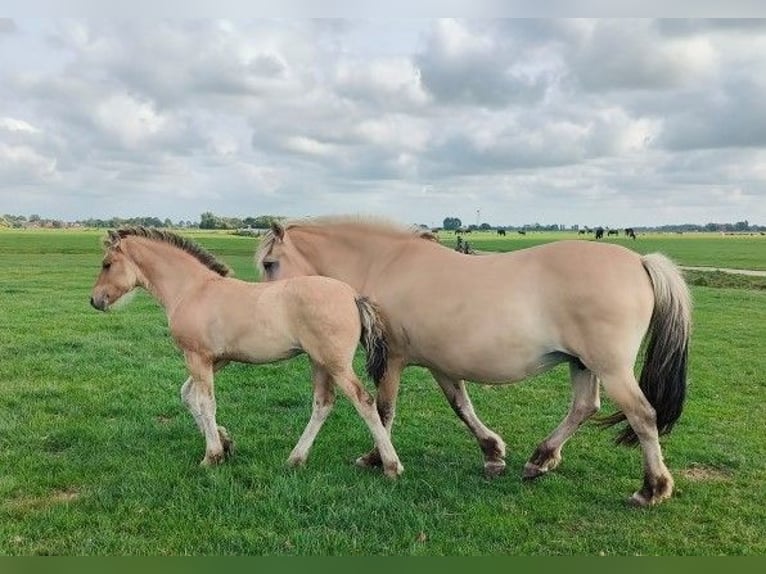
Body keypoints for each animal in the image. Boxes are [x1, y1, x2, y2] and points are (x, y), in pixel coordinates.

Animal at [89, 227, 403, 477]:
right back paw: (295, 459)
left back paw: (391, 465)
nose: (95, 300)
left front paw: (212, 456)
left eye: (107, 264)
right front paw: (225, 442)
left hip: (335, 363)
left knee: (364, 401)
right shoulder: (217, 360)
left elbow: (205, 402)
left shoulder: (197, 357)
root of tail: (353, 295)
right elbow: (188, 395)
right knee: (323, 403)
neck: (192, 290)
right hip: (319, 362)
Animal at [256, 217, 692, 506]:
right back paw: (541, 460)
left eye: (269, 263)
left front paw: (376, 459)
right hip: (582, 363)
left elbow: (383, 409)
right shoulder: (441, 365)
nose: (267, 311)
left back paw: (652, 488)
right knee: (585, 407)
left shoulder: (393, 360)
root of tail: (640, 262)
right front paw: (493, 453)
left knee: (642, 415)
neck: (385, 264)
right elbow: (461, 406)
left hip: (610, 368)